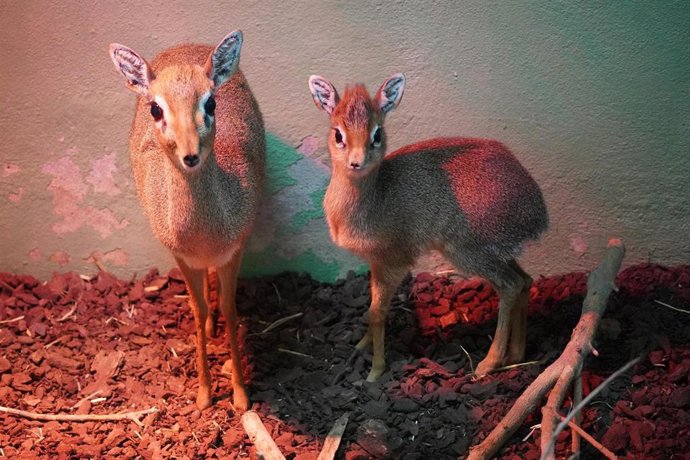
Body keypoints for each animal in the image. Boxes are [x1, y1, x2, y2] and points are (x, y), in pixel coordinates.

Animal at [109, 31, 265, 410]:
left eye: (210, 103)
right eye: (155, 107)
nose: (190, 154)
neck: (203, 236)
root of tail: (185, 46)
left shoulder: (233, 251)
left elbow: (229, 308)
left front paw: (241, 395)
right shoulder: (180, 257)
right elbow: (198, 310)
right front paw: (204, 394)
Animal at [309, 73, 547, 381]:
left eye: (377, 134)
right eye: (338, 134)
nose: (356, 162)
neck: (376, 196)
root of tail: (538, 211)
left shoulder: (395, 260)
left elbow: (378, 312)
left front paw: (375, 370)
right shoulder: (375, 261)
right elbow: (371, 308)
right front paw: (362, 345)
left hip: (469, 253)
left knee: (510, 285)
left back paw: (489, 363)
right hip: (499, 251)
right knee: (526, 280)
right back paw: (517, 354)